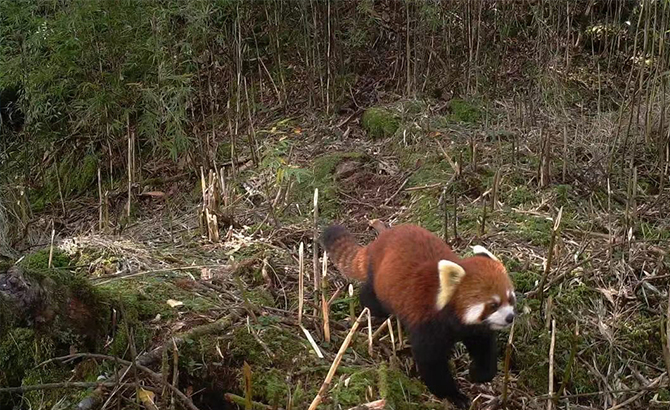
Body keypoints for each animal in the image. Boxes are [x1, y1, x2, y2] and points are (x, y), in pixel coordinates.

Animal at [322, 223, 516, 408]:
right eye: (493, 305)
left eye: (510, 298)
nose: (510, 317)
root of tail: (378, 241)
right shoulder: (427, 321)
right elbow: (430, 362)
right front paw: (453, 395)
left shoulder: (473, 329)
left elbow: (484, 346)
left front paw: (478, 373)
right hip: (379, 284)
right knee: (371, 298)